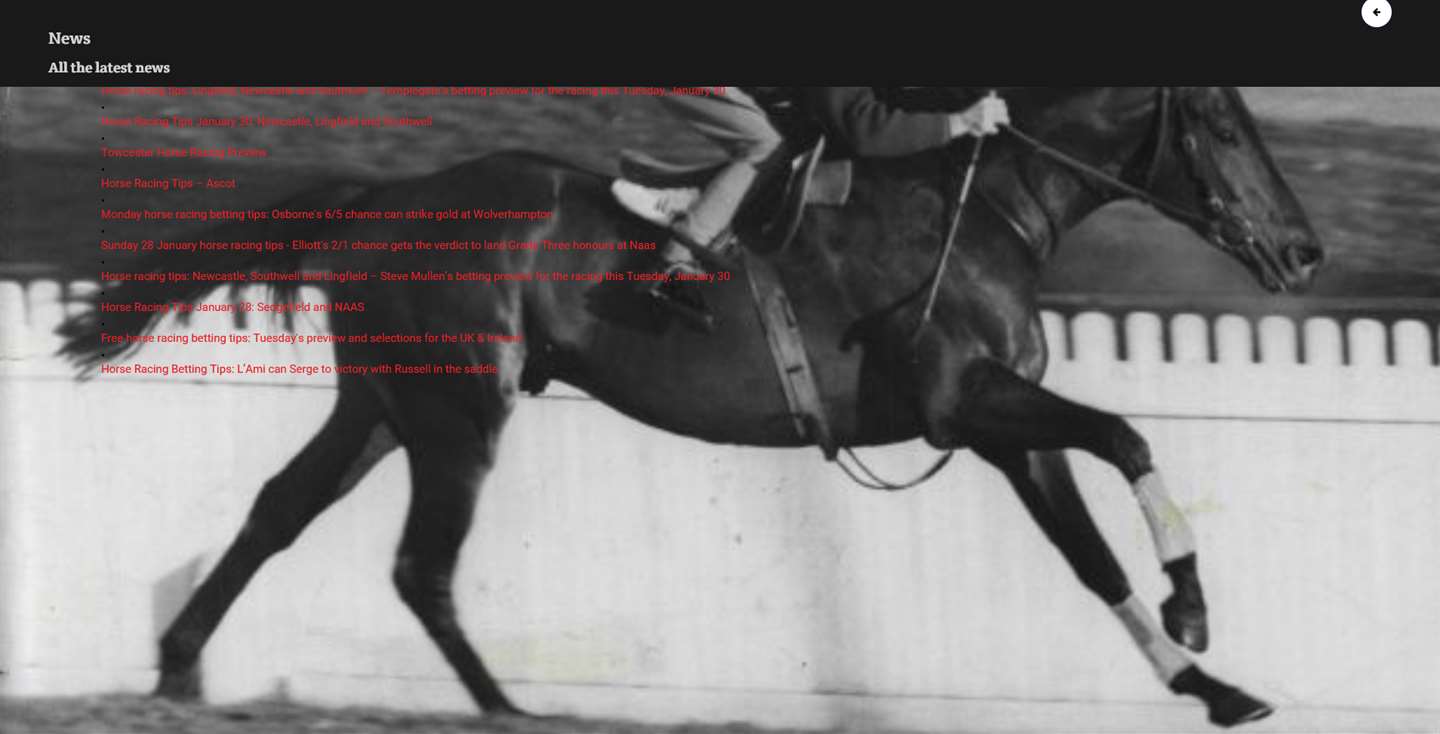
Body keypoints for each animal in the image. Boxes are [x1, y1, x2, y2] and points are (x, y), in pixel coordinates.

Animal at [59, 86, 1322, 728]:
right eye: (1222, 127)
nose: (1305, 251)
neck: (982, 210)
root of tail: (386, 197)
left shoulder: (998, 429)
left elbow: (1090, 556)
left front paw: (1212, 680)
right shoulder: (968, 401)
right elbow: (1125, 432)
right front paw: (1196, 608)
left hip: (383, 402)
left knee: (279, 508)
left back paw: (174, 670)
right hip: (460, 412)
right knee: (421, 565)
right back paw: (508, 709)